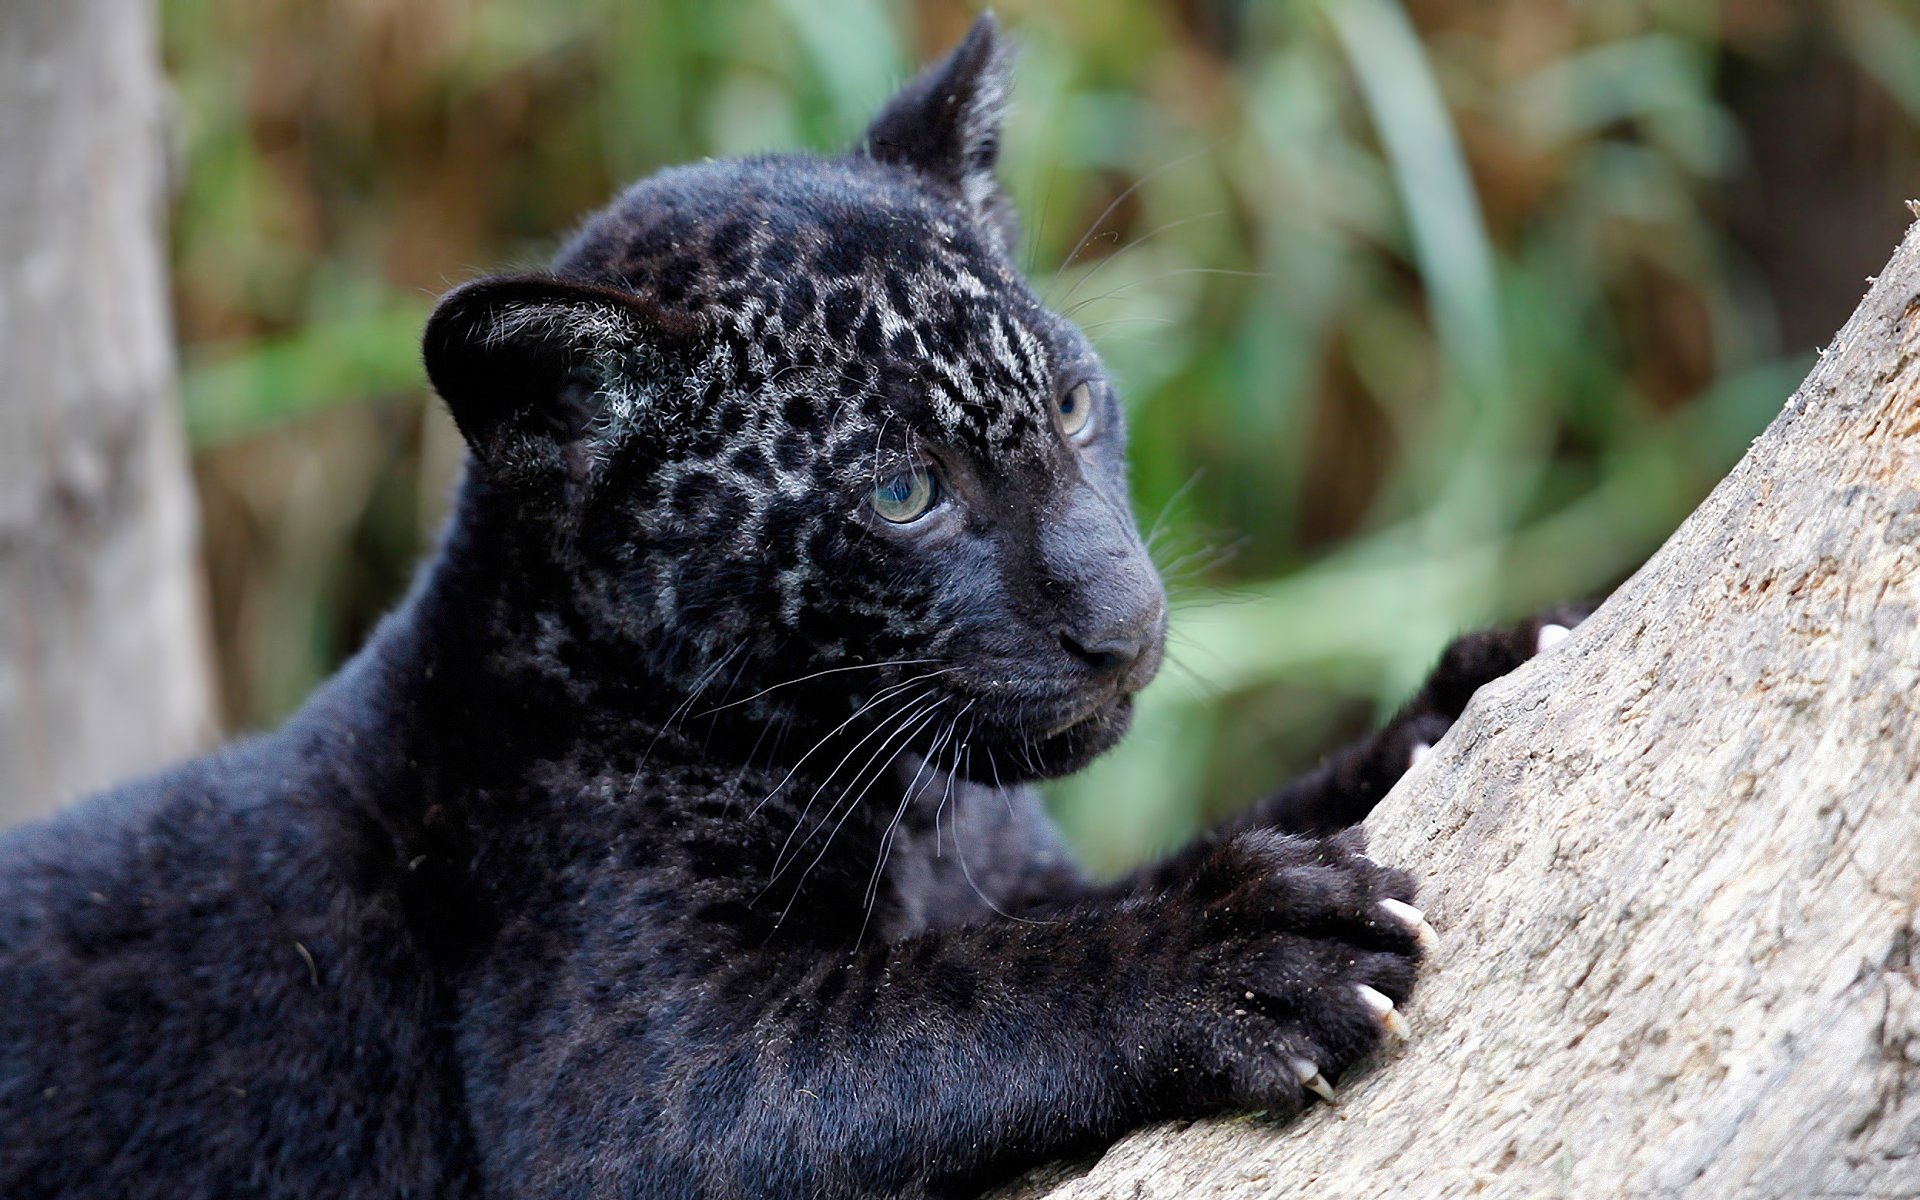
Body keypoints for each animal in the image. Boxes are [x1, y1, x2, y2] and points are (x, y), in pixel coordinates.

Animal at [0, 16, 1588, 1199]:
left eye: (1076, 407)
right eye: (902, 495)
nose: (1127, 622)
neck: (924, 815)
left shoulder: (1018, 873)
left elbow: (1214, 838)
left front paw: (1478, 682)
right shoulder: (643, 1082)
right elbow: (963, 1000)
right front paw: (1247, 962)